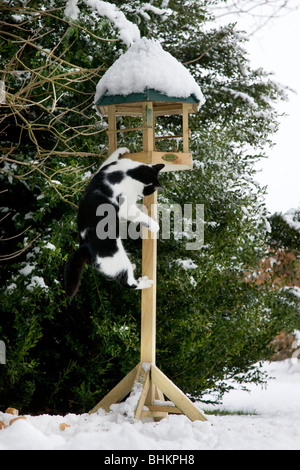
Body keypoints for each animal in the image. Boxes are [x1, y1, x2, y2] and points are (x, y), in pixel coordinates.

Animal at [64, 148, 165, 298]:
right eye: (150, 190)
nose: (144, 195)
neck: (129, 172)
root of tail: (84, 247)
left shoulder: (103, 168)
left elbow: (108, 159)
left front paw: (121, 150)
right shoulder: (126, 208)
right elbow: (140, 215)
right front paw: (155, 225)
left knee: (111, 276)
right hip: (117, 260)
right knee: (126, 282)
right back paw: (145, 282)